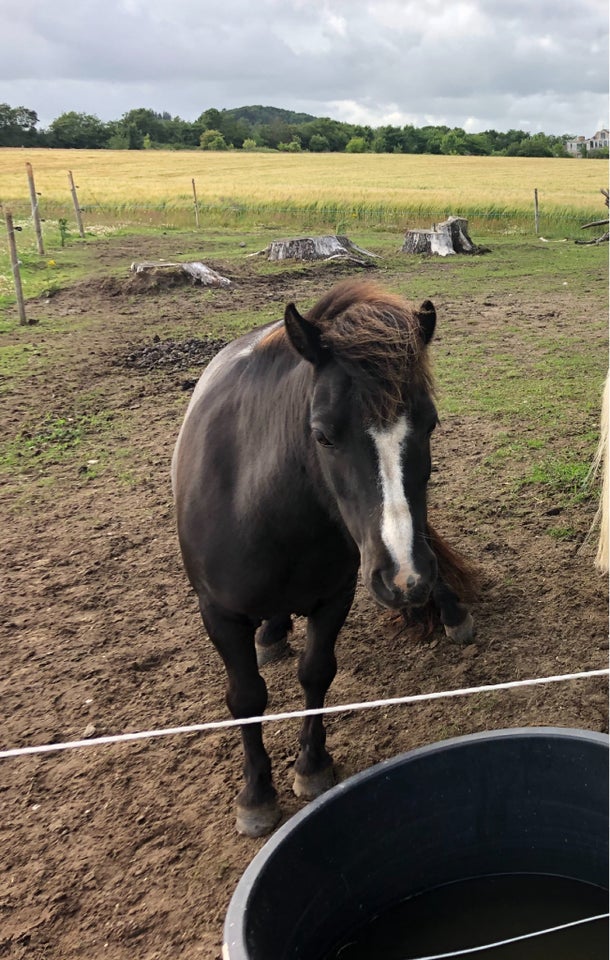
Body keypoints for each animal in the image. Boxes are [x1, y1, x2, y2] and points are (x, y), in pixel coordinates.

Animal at [171, 278, 476, 832]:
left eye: (430, 425)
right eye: (322, 435)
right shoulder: (218, 613)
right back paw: (272, 633)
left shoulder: (336, 595)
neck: (264, 511)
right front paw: (256, 795)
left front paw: (312, 766)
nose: (403, 578)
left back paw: (450, 610)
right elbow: (246, 697)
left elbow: (316, 672)